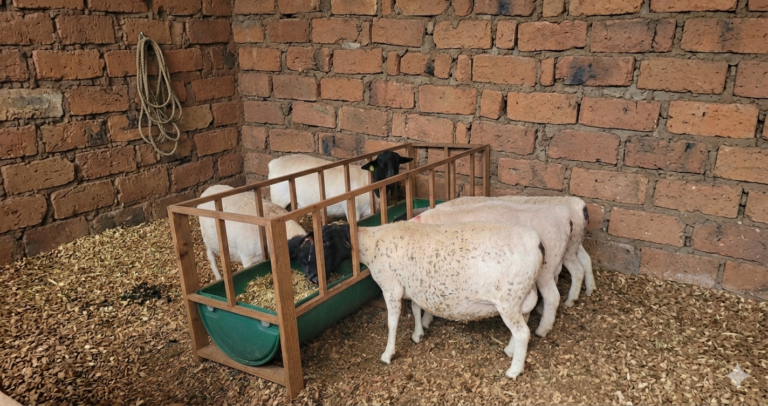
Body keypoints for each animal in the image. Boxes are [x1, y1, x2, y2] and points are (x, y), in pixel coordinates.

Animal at [267, 151, 414, 221]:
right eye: (381, 163)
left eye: (398, 162)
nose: (392, 174)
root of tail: (274, 162)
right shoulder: (353, 211)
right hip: (278, 199)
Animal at [356, 221, 545, 378]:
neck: (372, 243)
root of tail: (535, 241)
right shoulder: (414, 287)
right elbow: (416, 309)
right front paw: (418, 334)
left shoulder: (391, 287)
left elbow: (392, 322)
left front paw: (387, 354)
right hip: (522, 294)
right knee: (524, 321)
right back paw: (510, 350)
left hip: (508, 299)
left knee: (522, 333)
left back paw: (514, 371)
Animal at [411, 201, 572, 337]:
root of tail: (565, 217)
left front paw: (425, 321)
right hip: (554, 263)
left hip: (546, 269)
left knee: (553, 296)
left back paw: (542, 330)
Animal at [436, 195, 595, 304]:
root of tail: (581, 206)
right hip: (574, 242)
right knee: (585, 259)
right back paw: (590, 289)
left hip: (560, 253)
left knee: (575, 271)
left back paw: (569, 301)